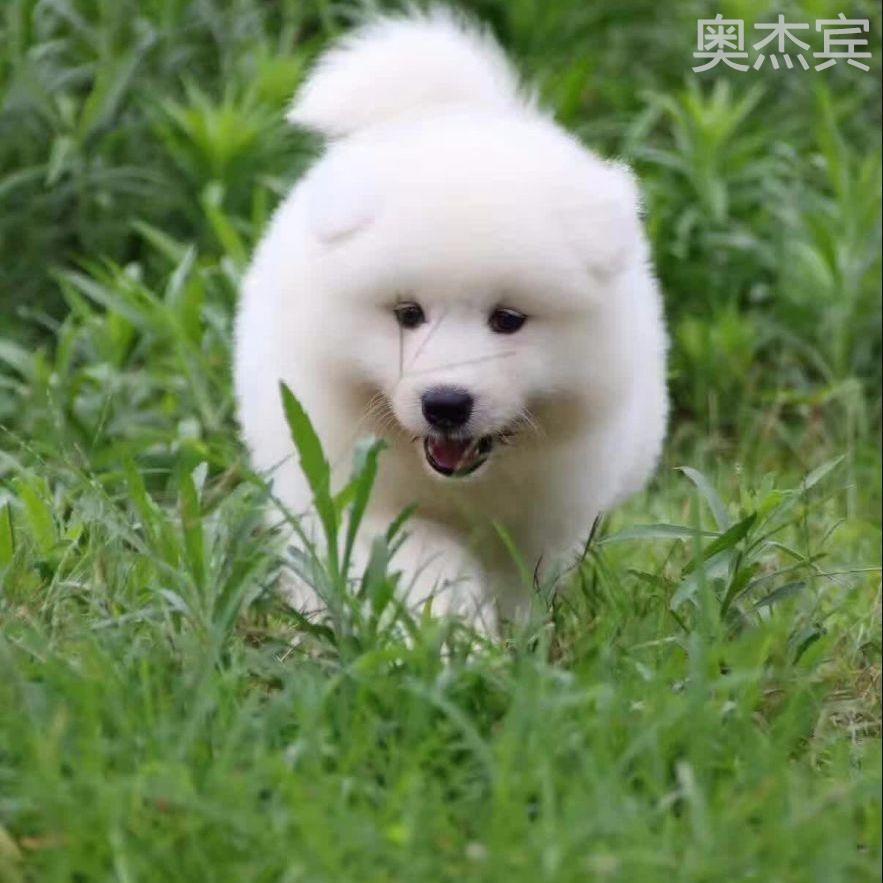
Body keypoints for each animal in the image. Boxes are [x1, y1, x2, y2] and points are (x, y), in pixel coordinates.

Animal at [231, 6, 668, 628]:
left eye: (508, 319)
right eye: (408, 313)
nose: (445, 404)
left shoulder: (548, 513)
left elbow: (522, 580)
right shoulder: (360, 489)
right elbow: (420, 558)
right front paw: (450, 630)